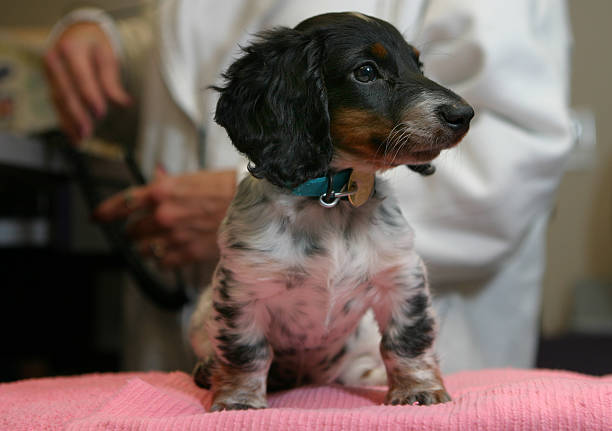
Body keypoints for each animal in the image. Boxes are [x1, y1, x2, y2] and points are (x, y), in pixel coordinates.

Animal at [190, 11, 474, 414]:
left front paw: (418, 390)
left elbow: (408, 339)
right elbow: (246, 350)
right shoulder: (243, 286)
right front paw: (238, 400)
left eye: (418, 65)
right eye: (366, 71)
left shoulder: (401, 276)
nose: (464, 114)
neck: (333, 198)